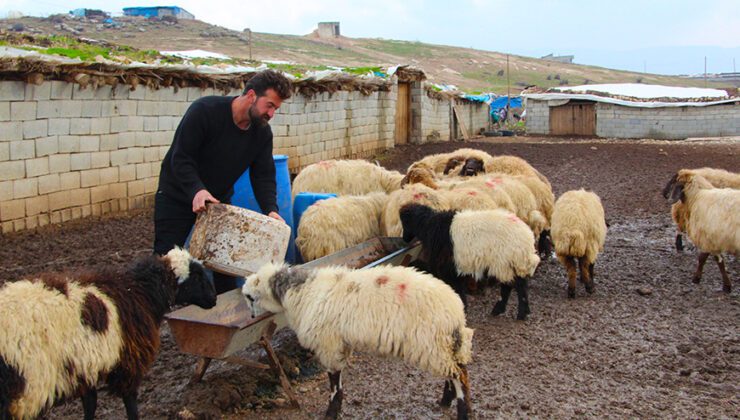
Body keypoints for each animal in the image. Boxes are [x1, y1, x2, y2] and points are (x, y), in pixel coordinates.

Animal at [0, 248, 217, 418]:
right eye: (197, 276)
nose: (214, 299)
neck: (138, 291)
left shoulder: (85, 365)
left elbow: (91, 403)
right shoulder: (128, 361)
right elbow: (130, 402)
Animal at [243, 264, 474, 418]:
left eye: (250, 297)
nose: (251, 317)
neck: (301, 291)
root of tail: (455, 310)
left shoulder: (328, 344)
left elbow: (334, 381)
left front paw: (331, 412)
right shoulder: (340, 344)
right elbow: (338, 380)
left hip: (431, 342)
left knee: (460, 375)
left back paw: (462, 411)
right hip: (441, 344)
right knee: (454, 371)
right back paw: (446, 400)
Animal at [402, 203, 540, 318]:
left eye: (404, 223)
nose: (404, 239)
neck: (431, 227)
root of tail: (527, 239)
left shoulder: (449, 268)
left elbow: (457, 289)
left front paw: (462, 308)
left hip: (504, 261)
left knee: (514, 285)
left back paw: (518, 312)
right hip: (508, 263)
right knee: (516, 284)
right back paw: (510, 310)